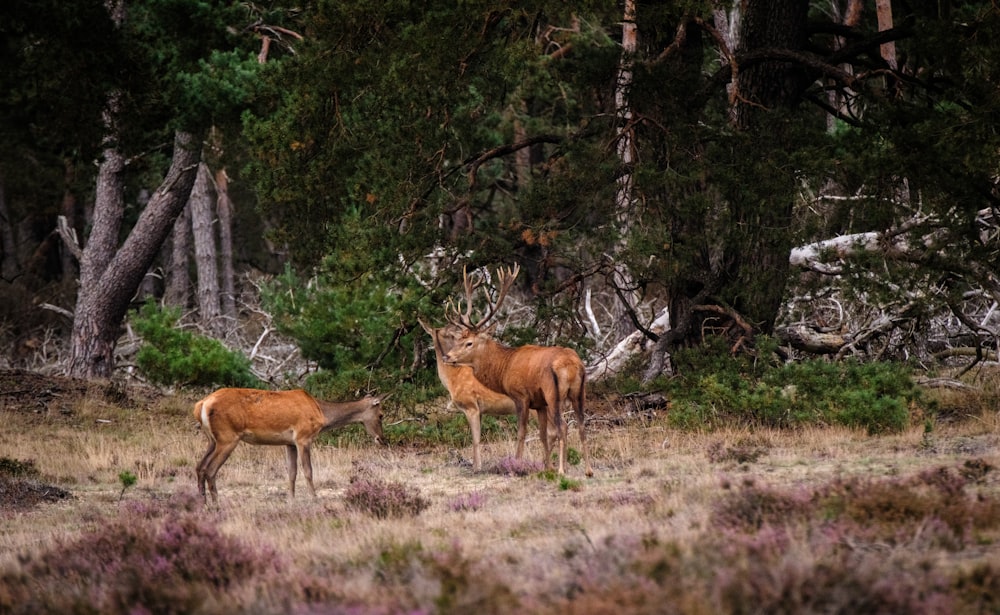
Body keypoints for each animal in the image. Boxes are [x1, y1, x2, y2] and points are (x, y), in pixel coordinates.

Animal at [194, 390, 386, 506]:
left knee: (199, 467)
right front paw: (314, 498)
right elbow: (308, 470)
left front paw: (291, 500)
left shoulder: (289, 443)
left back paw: (203, 503)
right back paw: (216, 504)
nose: (382, 439)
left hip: (212, 439)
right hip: (228, 437)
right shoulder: (303, 437)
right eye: (381, 415)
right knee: (210, 469)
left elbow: (292, 472)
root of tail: (201, 405)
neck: (322, 414)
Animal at [416, 318, 556, 472]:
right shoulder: (481, 410)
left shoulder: (470, 405)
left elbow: (475, 439)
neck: (453, 379)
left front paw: (476, 468)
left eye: (454, 335)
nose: (446, 356)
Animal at [434, 264, 588, 476]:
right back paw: (587, 470)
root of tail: (572, 365)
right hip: (578, 393)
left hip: (553, 394)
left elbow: (520, 433)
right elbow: (542, 435)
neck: (505, 366)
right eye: (457, 339)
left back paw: (562, 470)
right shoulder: (539, 403)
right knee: (580, 424)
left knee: (562, 427)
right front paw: (545, 467)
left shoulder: (520, 396)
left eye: (469, 343)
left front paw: (515, 465)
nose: (447, 357)